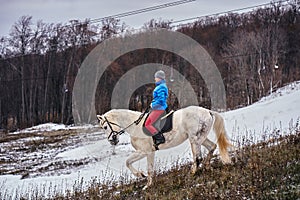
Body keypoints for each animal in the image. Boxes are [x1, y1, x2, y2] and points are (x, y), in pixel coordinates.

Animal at [97, 105, 233, 190]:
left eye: (105, 127)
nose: (112, 140)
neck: (135, 126)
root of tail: (208, 111)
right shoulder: (146, 152)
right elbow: (130, 163)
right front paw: (143, 177)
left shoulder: (145, 152)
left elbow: (138, 165)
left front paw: (146, 183)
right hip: (201, 138)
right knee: (212, 147)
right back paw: (207, 166)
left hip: (194, 139)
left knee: (197, 157)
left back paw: (193, 172)